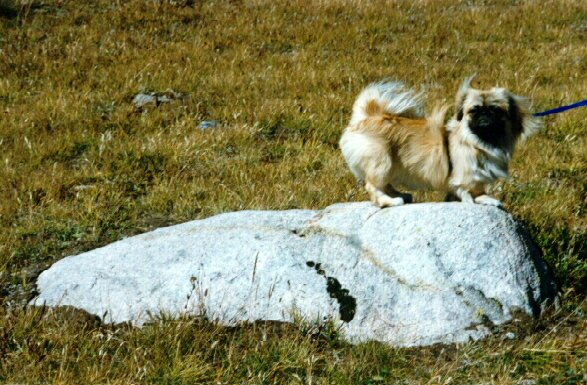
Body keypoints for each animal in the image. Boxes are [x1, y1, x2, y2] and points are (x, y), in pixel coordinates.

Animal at [340, 76, 544, 206]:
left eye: (496, 110)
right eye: (474, 110)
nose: (485, 115)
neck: (480, 141)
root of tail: (365, 117)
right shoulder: (469, 174)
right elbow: (475, 190)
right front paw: (485, 199)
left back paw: (400, 195)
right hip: (382, 161)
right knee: (373, 186)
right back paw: (390, 201)